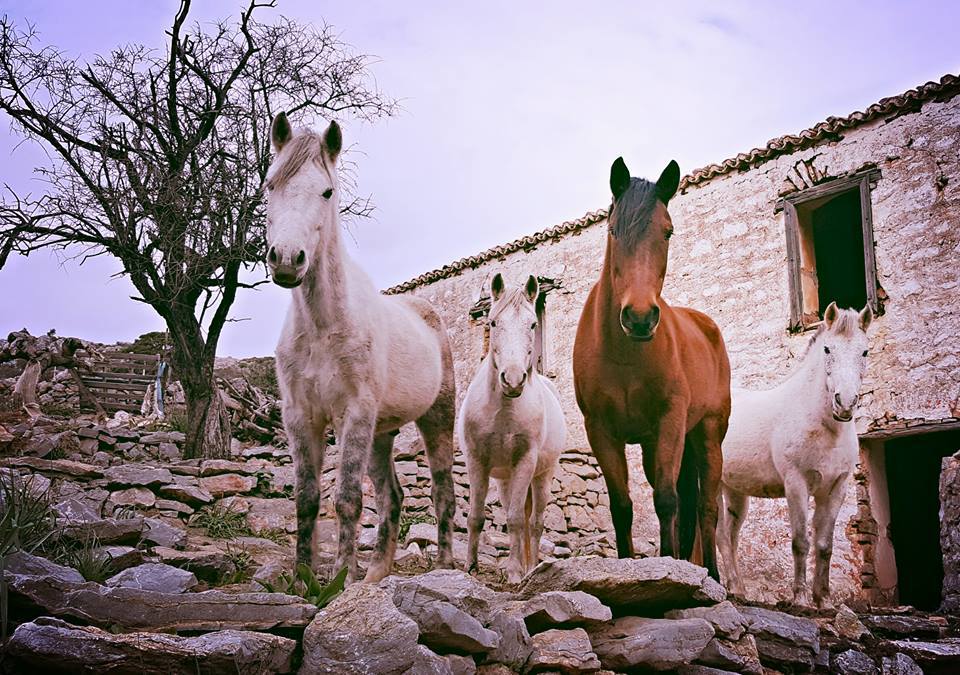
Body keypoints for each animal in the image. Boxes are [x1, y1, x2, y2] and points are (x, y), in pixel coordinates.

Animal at [264, 113, 457, 583]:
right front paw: (305, 580)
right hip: (381, 434)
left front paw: (339, 580)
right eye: (270, 184)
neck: (323, 328)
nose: (286, 260)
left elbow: (348, 498)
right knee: (393, 497)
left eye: (327, 191)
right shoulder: (301, 417)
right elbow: (307, 499)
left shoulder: (353, 414)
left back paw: (444, 568)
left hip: (435, 419)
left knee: (443, 491)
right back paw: (376, 574)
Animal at [457, 274, 567, 583]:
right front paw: (470, 567)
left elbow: (517, 520)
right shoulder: (476, 461)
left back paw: (531, 567)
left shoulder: (525, 462)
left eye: (532, 324)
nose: (514, 379)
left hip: (541, 476)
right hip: (505, 480)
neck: (502, 411)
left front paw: (516, 572)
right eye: (493, 322)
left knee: (534, 522)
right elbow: (476, 517)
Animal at [572, 157, 731, 580]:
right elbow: (622, 505)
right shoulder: (601, 430)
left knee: (706, 508)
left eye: (668, 232)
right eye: (613, 230)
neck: (625, 354)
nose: (640, 318)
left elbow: (665, 500)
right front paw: (630, 568)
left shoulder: (670, 421)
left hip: (708, 435)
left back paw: (712, 576)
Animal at [718, 302, 872, 607]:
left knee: (730, 536)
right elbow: (800, 541)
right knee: (717, 534)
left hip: (735, 490)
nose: (845, 403)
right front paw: (800, 598)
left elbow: (824, 545)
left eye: (864, 351)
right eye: (827, 349)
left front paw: (823, 600)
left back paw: (738, 589)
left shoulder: (835, 489)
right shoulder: (796, 484)